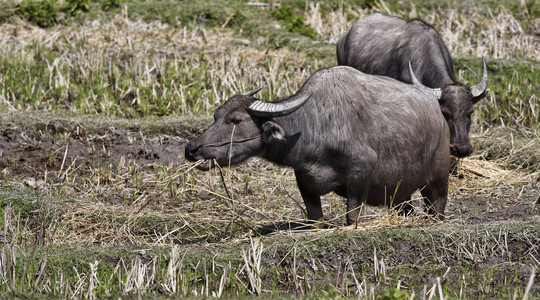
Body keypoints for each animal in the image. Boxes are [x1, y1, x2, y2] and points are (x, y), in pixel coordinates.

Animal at [186, 65, 452, 225]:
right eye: (216, 116)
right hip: (400, 193)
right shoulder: (305, 183)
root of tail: (438, 113)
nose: (191, 148)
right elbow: (315, 218)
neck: (316, 126)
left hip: (438, 179)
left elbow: (352, 215)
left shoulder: (361, 172)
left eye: (236, 120)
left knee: (437, 205)